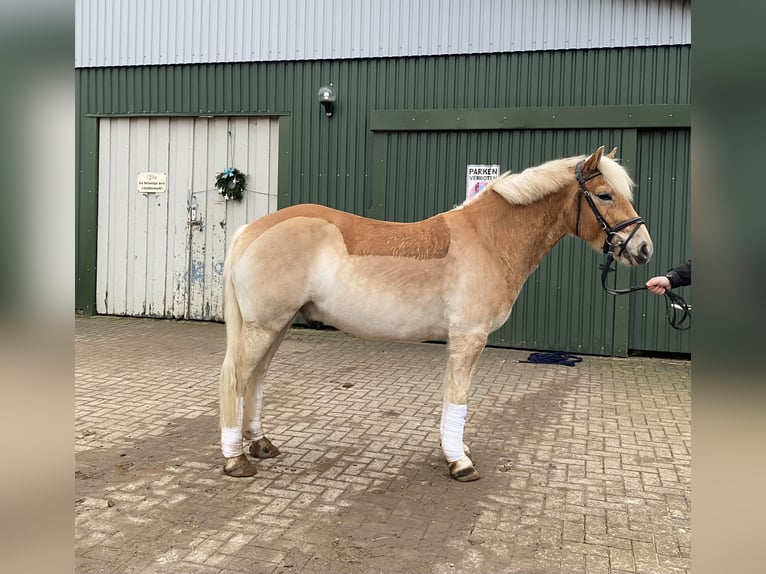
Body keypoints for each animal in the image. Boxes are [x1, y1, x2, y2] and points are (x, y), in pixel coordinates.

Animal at [216, 145, 656, 482]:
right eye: (604, 195)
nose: (644, 248)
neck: (489, 239)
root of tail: (252, 230)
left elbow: (450, 399)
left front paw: (453, 449)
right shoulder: (469, 336)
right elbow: (458, 398)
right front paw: (459, 462)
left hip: (277, 326)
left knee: (255, 380)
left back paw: (260, 444)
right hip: (263, 326)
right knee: (236, 378)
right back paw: (235, 459)